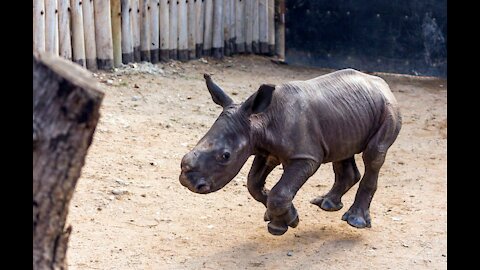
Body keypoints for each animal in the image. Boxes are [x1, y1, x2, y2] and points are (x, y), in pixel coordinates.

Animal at [179, 68, 402, 235]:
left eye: (225, 156)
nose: (187, 181)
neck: (260, 120)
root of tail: (383, 85)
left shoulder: (305, 157)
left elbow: (280, 191)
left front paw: (280, 226)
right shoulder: (265, 150)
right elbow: (254, 184)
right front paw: (282, 217)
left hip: (388, 109)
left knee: (374, 155)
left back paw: (355, 221)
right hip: (347, 116)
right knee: (342, 151)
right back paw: (326, 204)